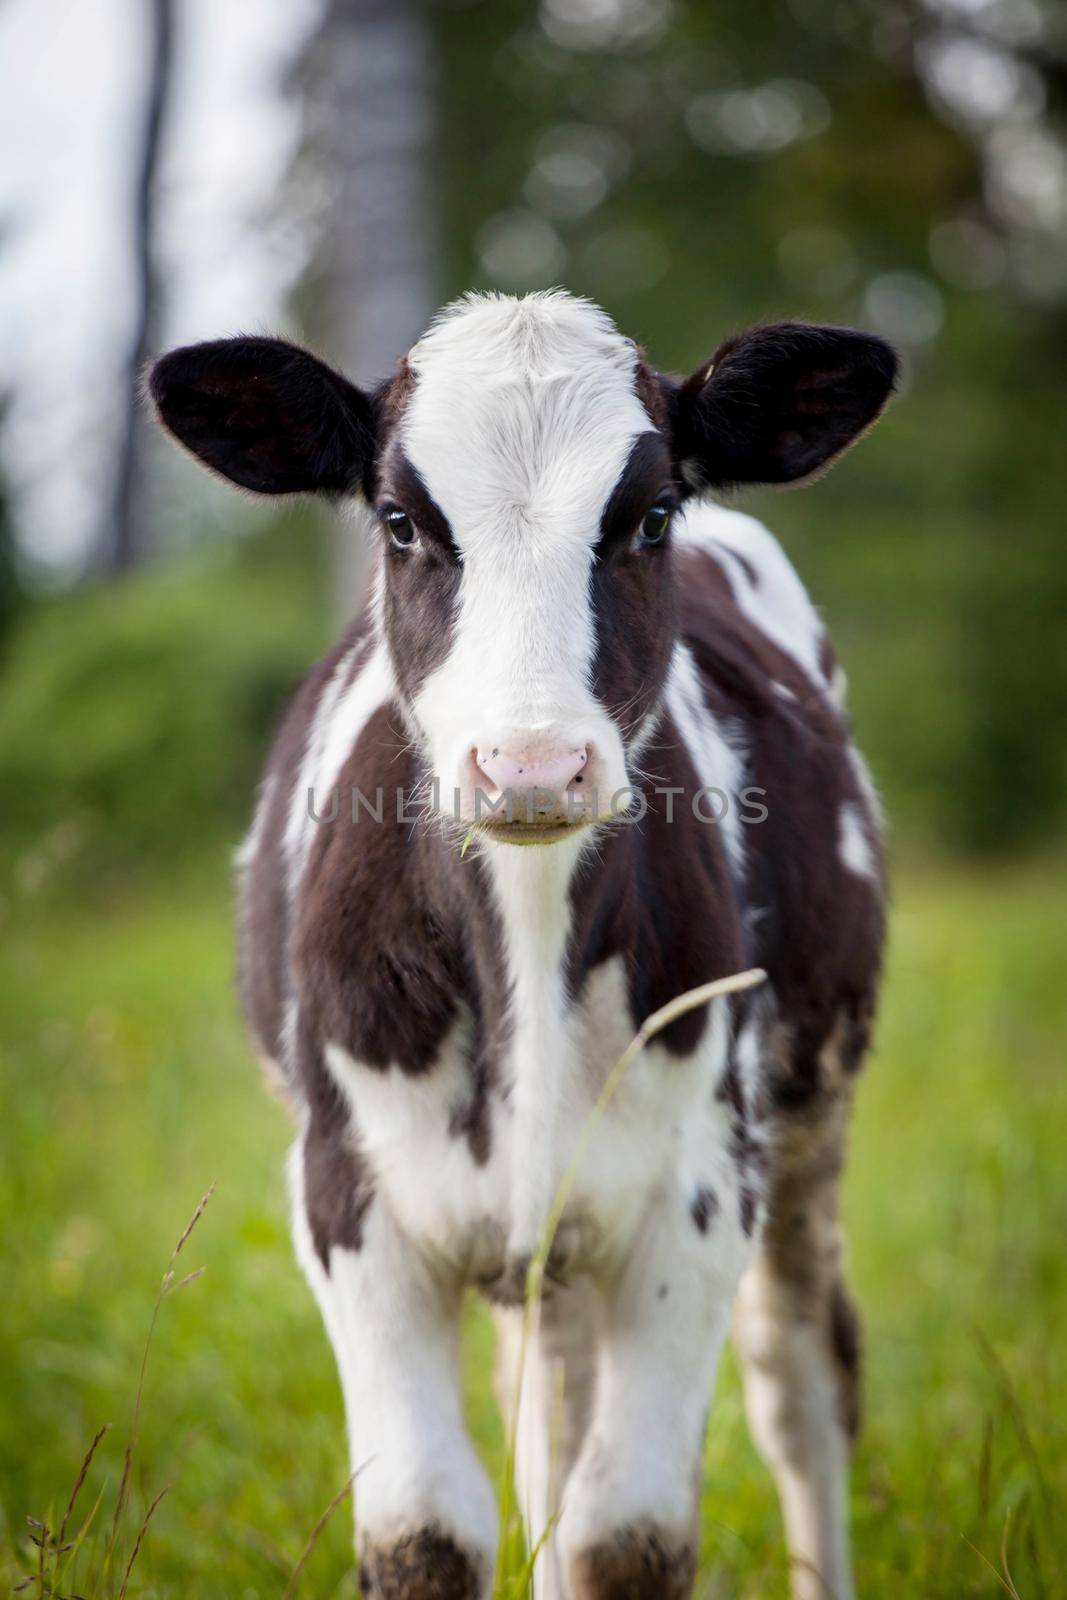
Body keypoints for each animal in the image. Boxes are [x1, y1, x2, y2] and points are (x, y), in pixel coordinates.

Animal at [154, 291, 895, 1600]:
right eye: (400, 520)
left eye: (648, 516)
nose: (532, 764)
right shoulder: (348, 1201)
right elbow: (425, 1528)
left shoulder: (699, 1195)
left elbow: (625, 1534)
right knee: (546, 1409)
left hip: (805, 1122)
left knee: (799, 1387)